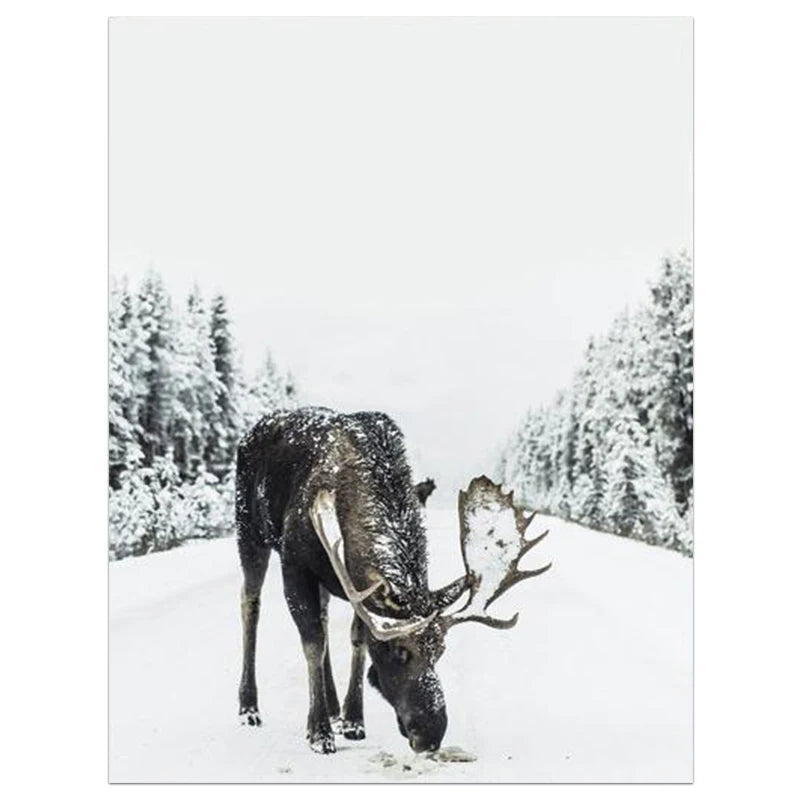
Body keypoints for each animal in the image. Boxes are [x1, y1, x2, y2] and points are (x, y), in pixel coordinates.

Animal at [235, 407, 550, 754]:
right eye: (400, 651)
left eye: (440, 651)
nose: (431, 734)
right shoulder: (294, 561)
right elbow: (313, 642)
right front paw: (318, 732)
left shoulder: (353, 583)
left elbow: (357, 639)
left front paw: (353, 719)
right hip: (250, 531)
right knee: (251, 604)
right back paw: (249, 707)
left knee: (324, 614)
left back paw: (333, 706)